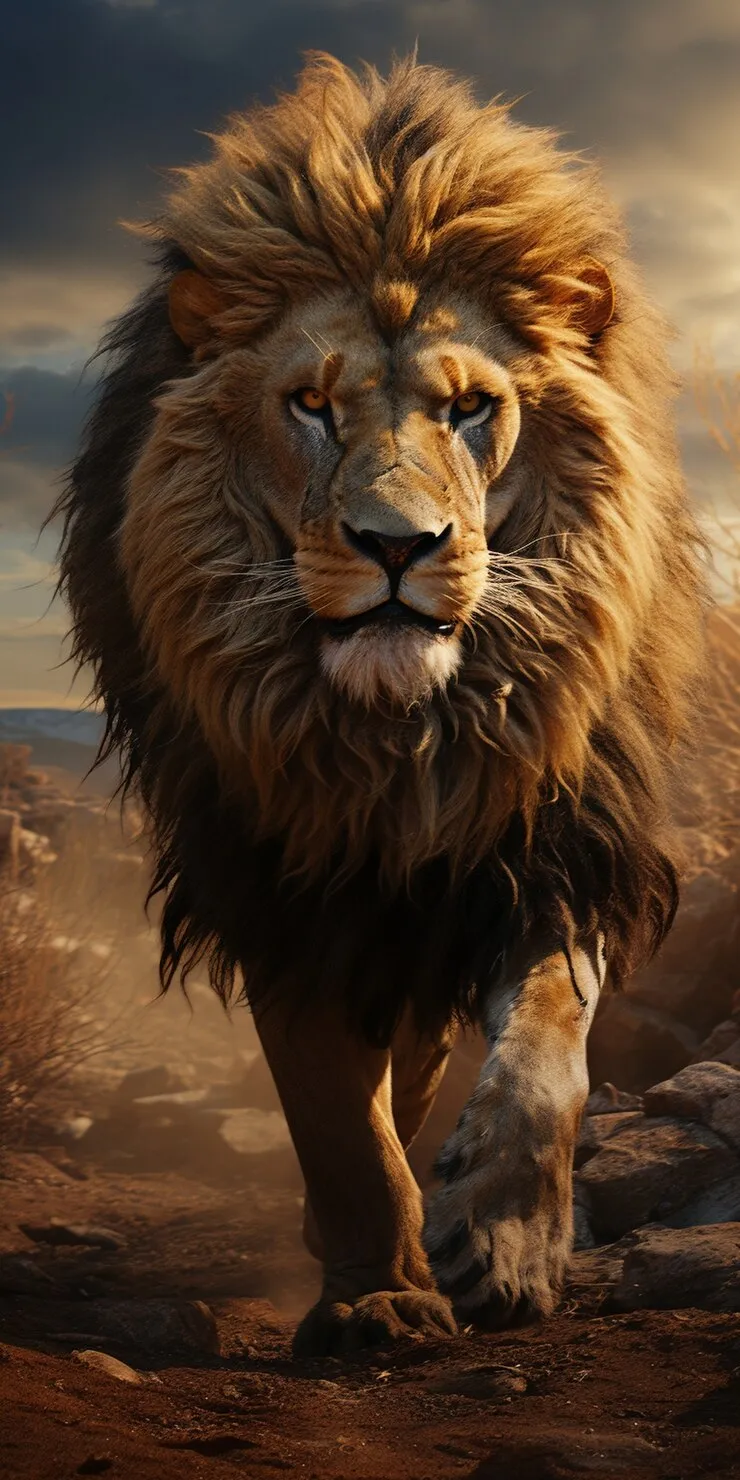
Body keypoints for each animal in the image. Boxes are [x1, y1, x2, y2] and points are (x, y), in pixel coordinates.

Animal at [56, 54, 705, 1356]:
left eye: (469, 409)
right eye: (309, 404)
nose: (397, 545)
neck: (399, 742)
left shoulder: (545, 836)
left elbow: (545, 1044)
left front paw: (499, 1240)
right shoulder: (275, 871)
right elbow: (329, 1111)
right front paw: (376, 1292)